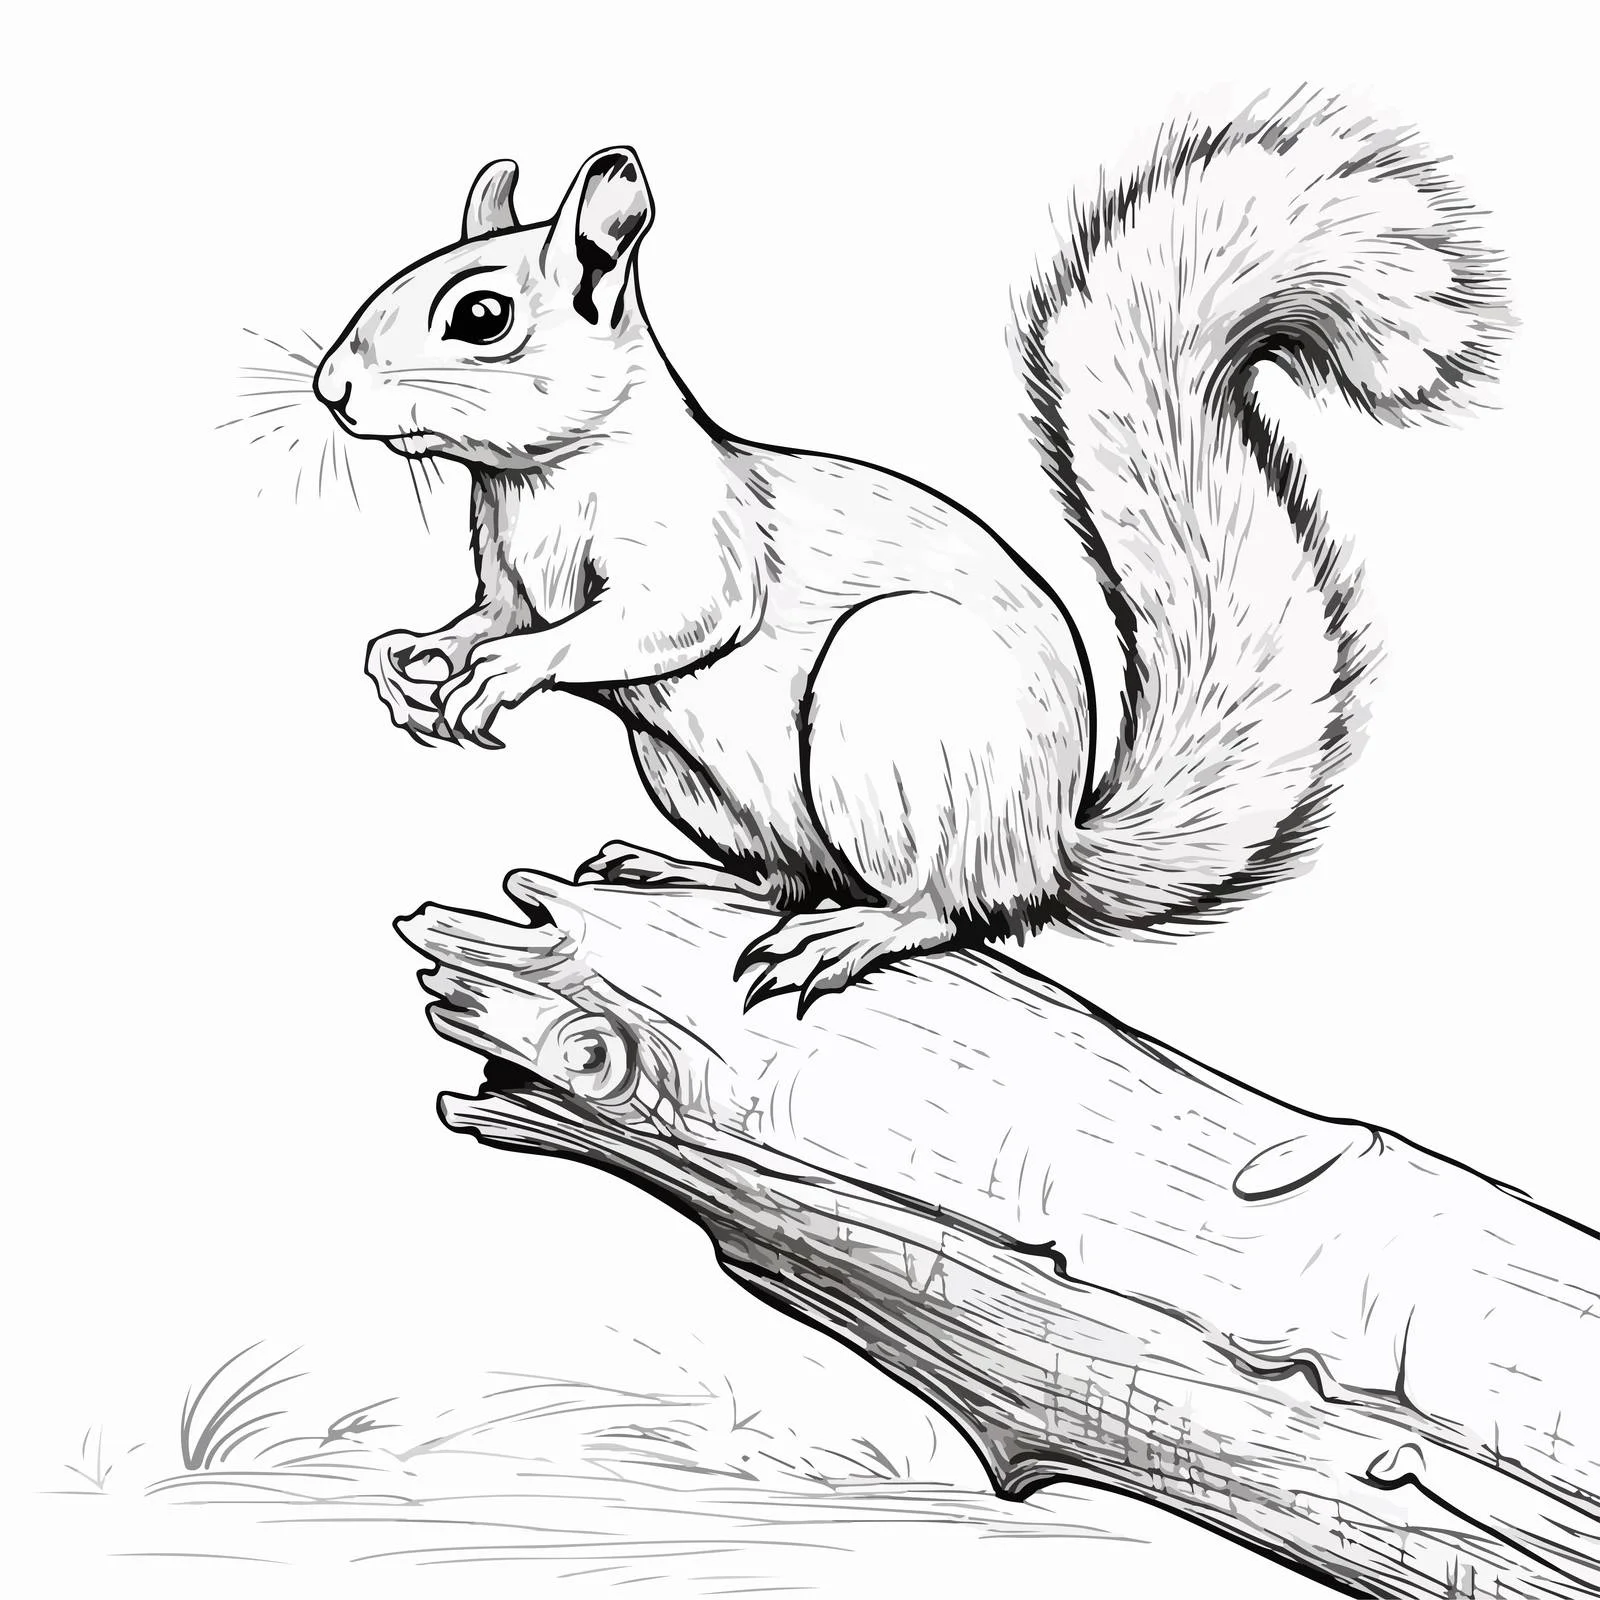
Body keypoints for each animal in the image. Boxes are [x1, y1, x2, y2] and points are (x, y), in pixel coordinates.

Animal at [314, 93, 1509, 1013]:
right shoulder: (506, 574)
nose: (332, 389)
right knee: (785, 878)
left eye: (480, 315)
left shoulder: (695, 544)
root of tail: (1049, 844)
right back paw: (676, 875)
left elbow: (662, 619)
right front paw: (404, 660)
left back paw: (855, 933)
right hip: (693, 777)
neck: (538, 482)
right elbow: (482, 617)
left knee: (946, 906)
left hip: (894, 705)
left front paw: (503, 676)